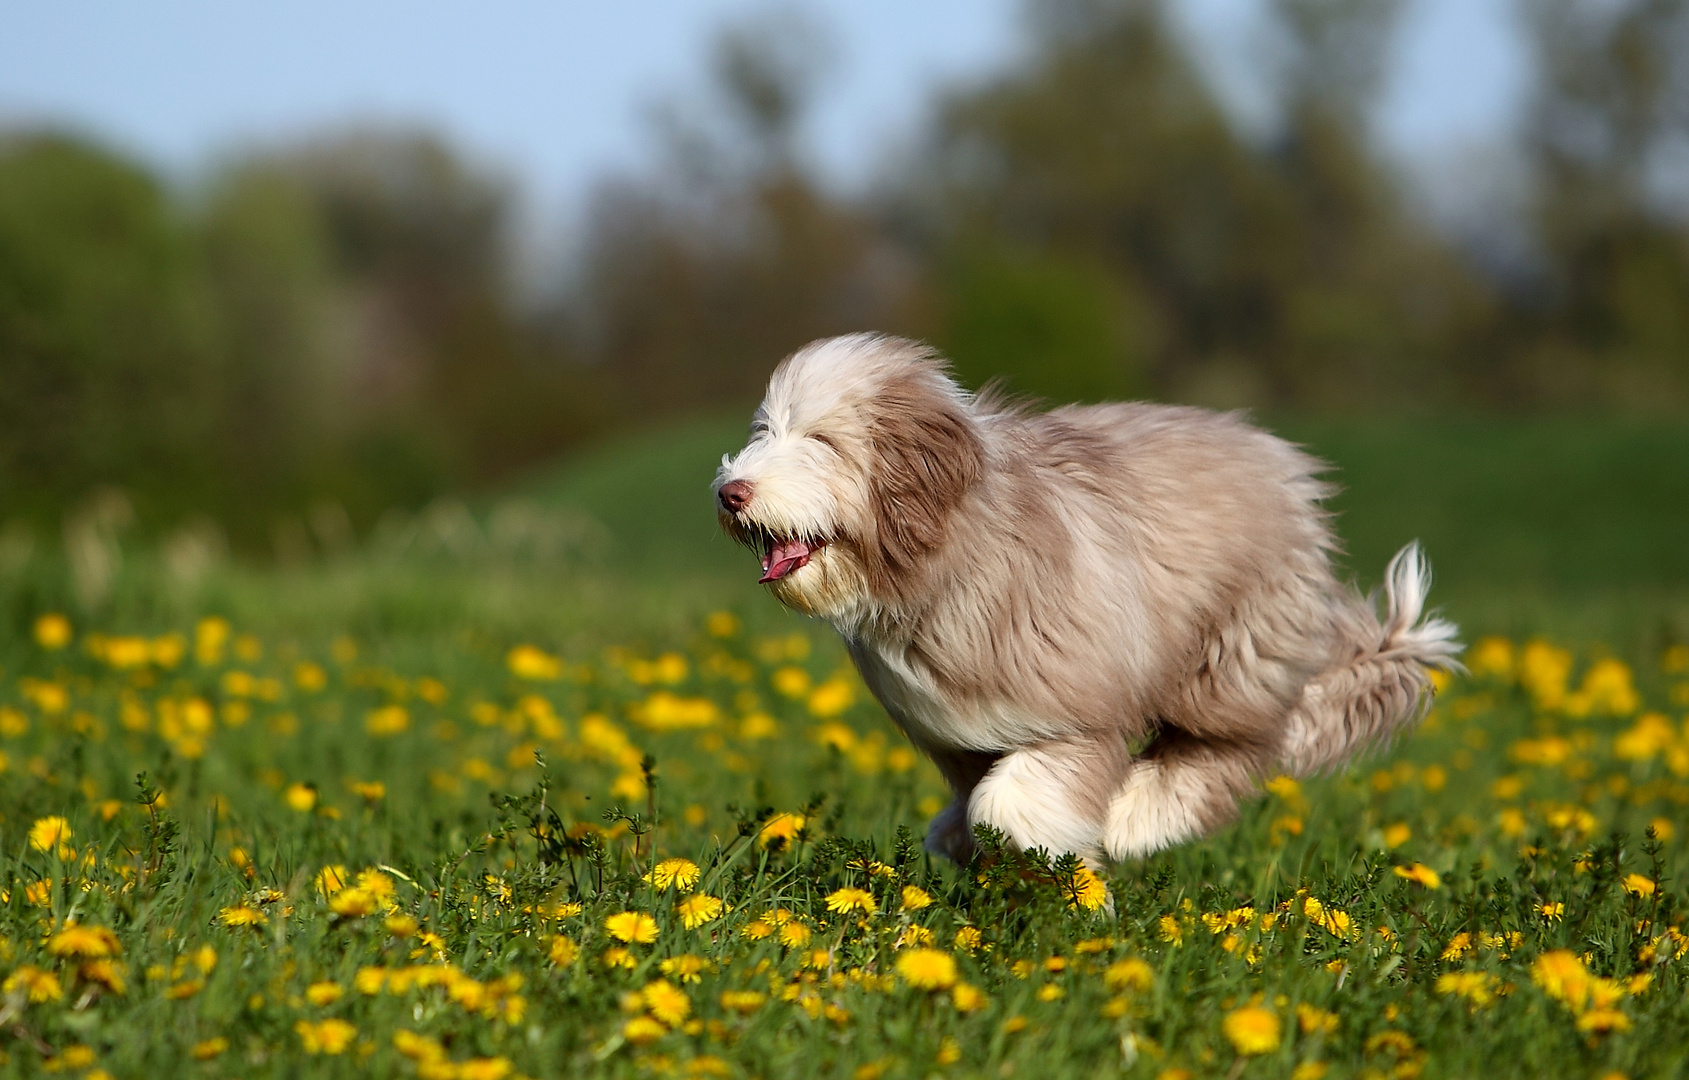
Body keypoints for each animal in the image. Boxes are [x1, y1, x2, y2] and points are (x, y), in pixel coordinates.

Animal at [706, 334, 1459, 865]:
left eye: (822, 441)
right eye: (764, 434)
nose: (730, 492)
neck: (956, 553)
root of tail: (1288, 470)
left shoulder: (1075, 706)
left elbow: (1018, 800)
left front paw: (1058, 862)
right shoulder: (958, 732)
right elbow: (975, 799)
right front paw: (974, 850)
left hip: (1232, 653)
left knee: (1233, 749)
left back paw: (1136, 820)